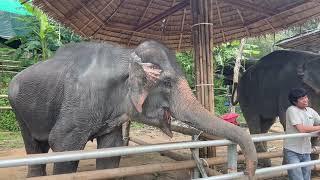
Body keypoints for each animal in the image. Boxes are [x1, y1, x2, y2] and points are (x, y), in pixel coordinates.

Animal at [8, 40, 258, 177]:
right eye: (167, 83)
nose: (248, 172)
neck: (126, 54)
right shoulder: (80, 102)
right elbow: (63, 145)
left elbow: (111, 150)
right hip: (18, 109)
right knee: (35, 147)